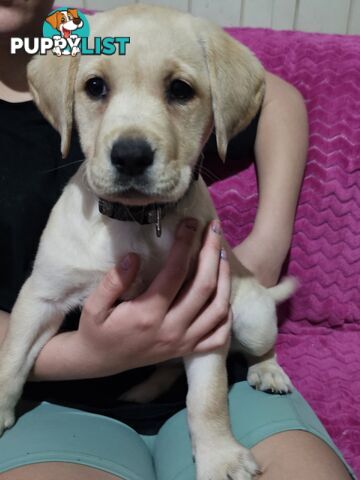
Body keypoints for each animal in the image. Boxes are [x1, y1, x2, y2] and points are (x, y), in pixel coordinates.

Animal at [0, 4, 296, 480]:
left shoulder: (206, 315)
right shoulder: (41, 296)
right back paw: (142, 390)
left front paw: (220, 456)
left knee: (260, 347)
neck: (139, 222)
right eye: (95, 87)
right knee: (169, 365)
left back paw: (267, 372)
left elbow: (208, 399)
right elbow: (11, 359)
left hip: (250, 316)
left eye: (180, 90)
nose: (131, 156)